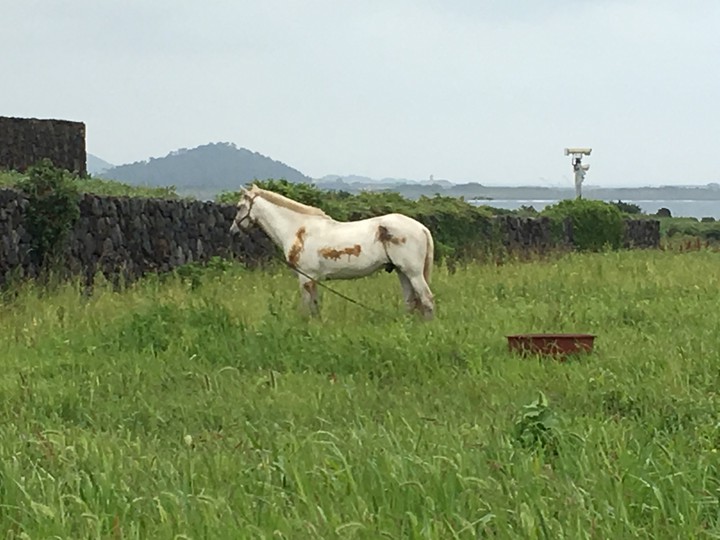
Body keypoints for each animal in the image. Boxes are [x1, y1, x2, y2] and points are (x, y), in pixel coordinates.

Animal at [229, 184, 435, 319]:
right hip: (402, 272)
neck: (298, 230)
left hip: (413, 273)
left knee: (426, 299)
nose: (233, 231)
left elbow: (307, 306)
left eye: (239, 207)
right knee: (410, 300)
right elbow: (315, 306)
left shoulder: (305, 277)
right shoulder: (312, 279)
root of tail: (422, 228)